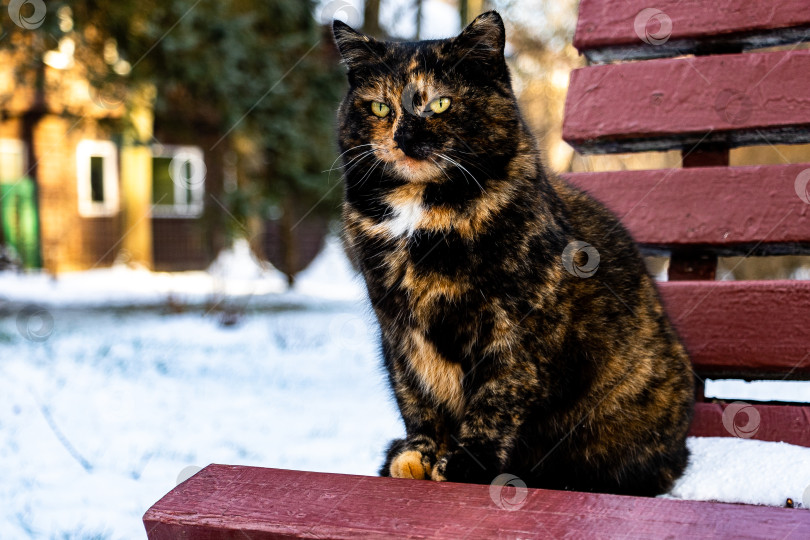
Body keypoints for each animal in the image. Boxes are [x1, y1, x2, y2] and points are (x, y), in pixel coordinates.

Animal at [332, 10, 692, 496]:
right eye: (380, 108)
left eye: (439, 104)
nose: (403, 136)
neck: (420, 214)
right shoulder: (398, 328)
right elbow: (416, 395)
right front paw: (418, 454)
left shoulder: (516, 324)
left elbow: (497, 396)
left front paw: (467, 463)